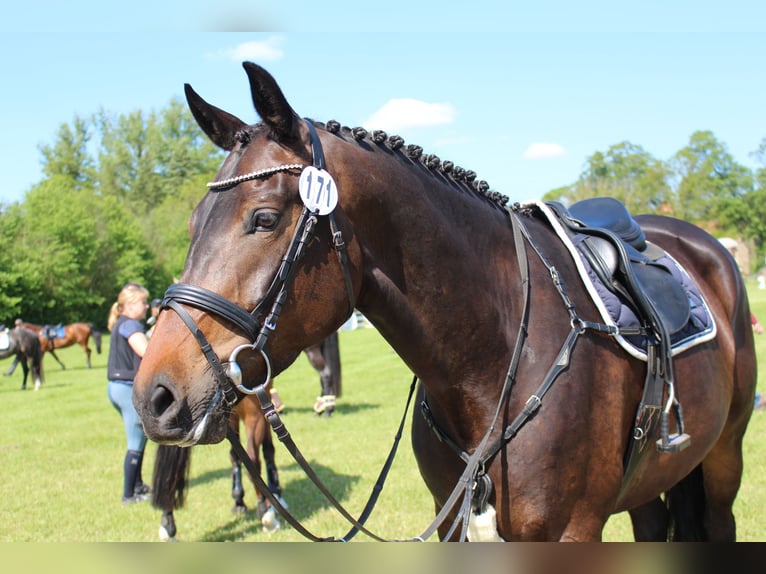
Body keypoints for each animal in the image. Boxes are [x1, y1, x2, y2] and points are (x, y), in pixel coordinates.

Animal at [130, 65, 756, 544]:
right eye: (193, 223)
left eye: (263, 218)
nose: (154, 396)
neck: (495, 358)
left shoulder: (572, 530)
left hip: (724, 456)